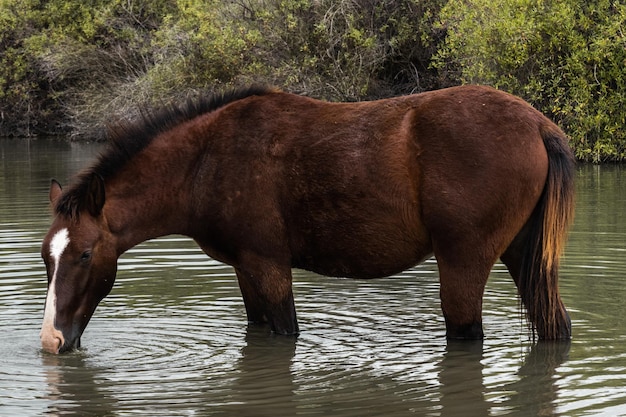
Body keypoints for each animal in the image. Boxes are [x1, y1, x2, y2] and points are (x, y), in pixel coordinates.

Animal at [40, 83, 576, 352]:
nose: (51, 339)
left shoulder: (268, 264)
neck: (205, 162)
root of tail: (538, 124)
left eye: (85, 254)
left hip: (463, 265)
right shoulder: (246, 270)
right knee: (556, 326)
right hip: (525, 258)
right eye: (47, 258)